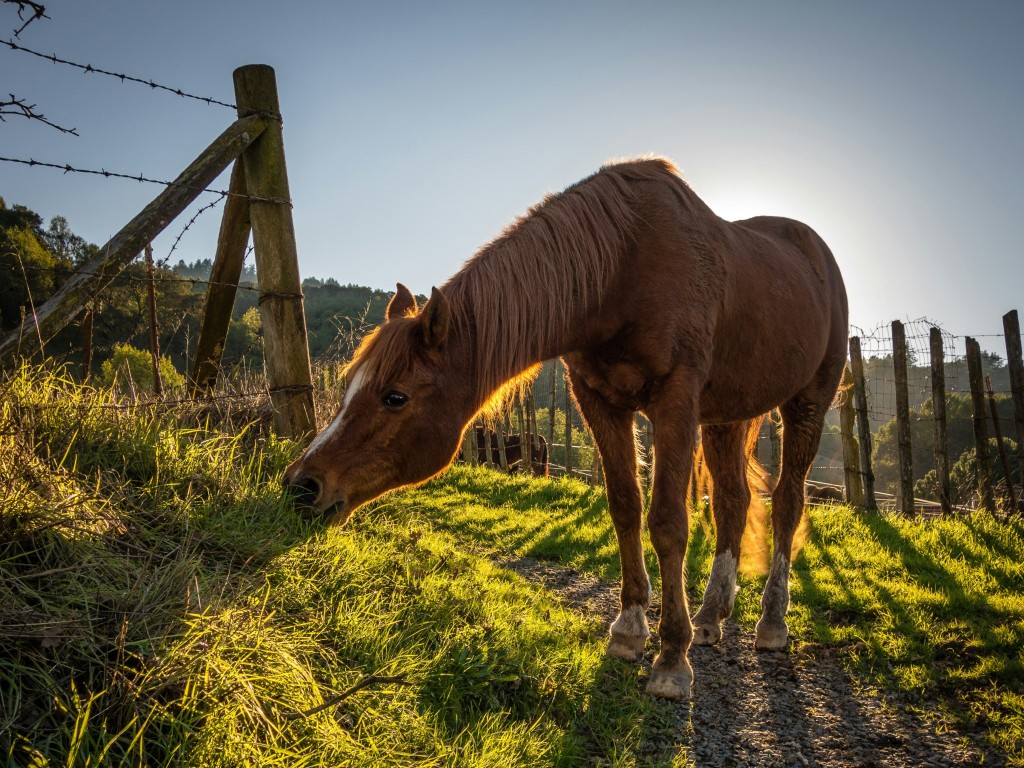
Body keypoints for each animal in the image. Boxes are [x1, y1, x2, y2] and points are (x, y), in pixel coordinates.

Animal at [282, 160, 847, 704]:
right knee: (733, 501)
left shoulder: (675, 402)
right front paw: (629, 629)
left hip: (806, 405)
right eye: (348, 384)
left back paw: (771, 622)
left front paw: (670, 659)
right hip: (728, 416)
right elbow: (625, 507)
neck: (622, 268)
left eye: (394, 396)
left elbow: (668, 522)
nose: (301, 485)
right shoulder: (600, 402)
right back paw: (711, 617)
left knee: (788, 502)